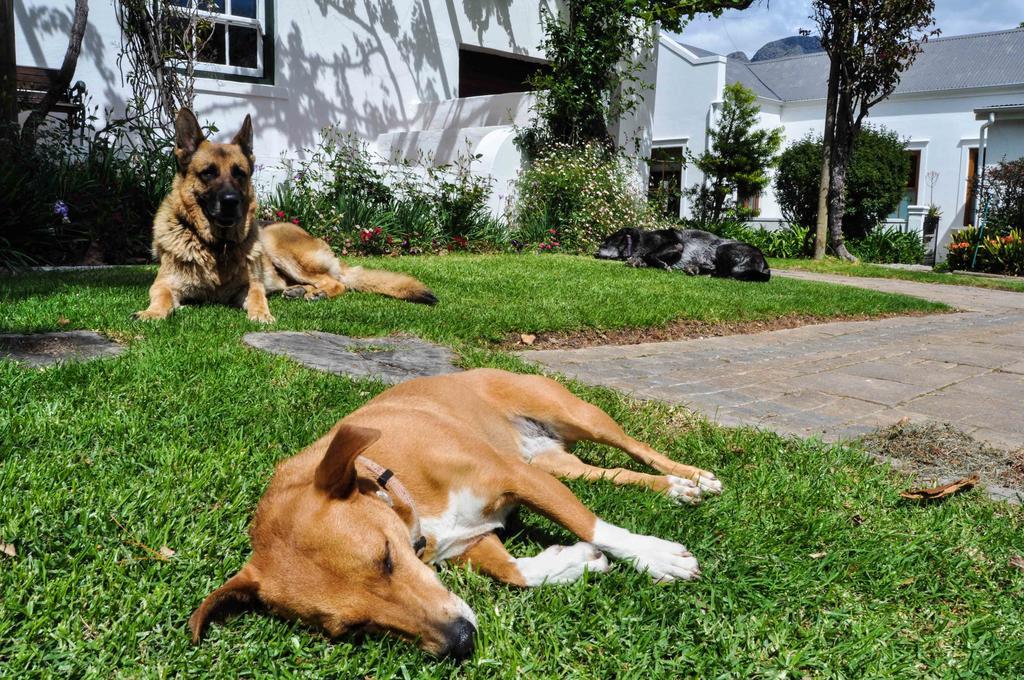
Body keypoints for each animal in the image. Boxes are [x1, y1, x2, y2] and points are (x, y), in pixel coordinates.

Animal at [133, 108, 436, 323]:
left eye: (239, 173)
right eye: (208, 173)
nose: (231, 202)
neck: (217, 247)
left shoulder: (251, 285)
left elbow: (257, 296)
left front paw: (262, 314)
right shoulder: (164, 284)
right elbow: (161, 297)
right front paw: (151, 313)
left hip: (278, 246)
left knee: (337, 283)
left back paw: (317, 292)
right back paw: (301, 290)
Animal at [190, 368, 720, 659]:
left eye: (385, 558)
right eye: (353, 628)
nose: (461, 641)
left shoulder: (515, 477)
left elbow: (594, 525)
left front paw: (657, 558)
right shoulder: (474, 538)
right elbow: (516, 572)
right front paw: (573, 561)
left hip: (577, 416)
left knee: (639, 448)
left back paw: (692, 477)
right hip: (557, 466)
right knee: (613, 473)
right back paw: (672, 489)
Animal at [598, 228, 770, 280]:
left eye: (605, 243)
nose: (595, 253)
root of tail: (764, 260)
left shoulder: (677, 244)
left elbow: (650, 255)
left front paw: (662, 265)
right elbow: (643, 258)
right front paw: (636, 261)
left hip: (723, 249)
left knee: (725, 273)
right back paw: (697, 268)